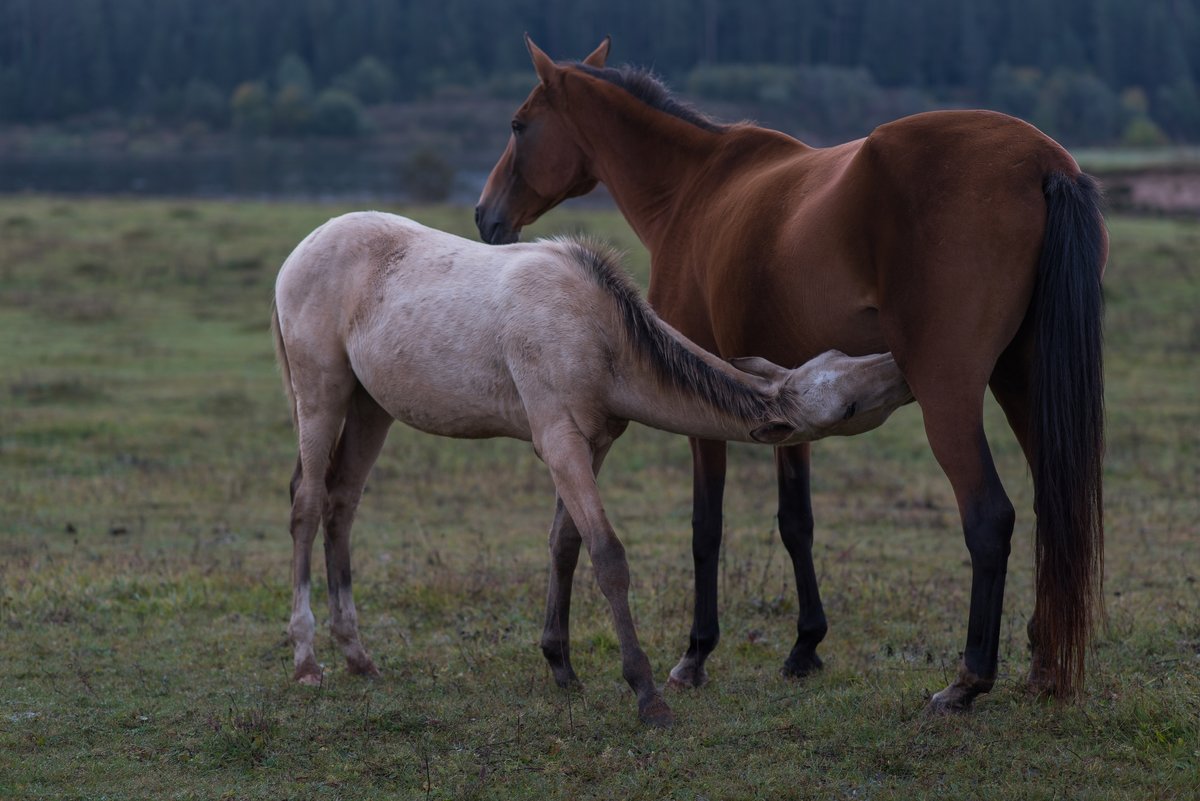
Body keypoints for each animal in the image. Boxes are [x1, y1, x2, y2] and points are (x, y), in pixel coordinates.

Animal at [272, 212, 907, 724]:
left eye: (842, 357)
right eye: (849, 406)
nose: (902, 365)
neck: (598, 332)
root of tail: (302, 249)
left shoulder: (593, 445)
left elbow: (565, 544)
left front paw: (561, 666)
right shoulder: (559, 443)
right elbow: (608, 556)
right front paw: (647, 694)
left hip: (370, 407)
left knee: (342, 503)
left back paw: (358, 656)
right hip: (321, 394)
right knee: (307, 505)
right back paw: (307, 660)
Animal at [475, 37, 1104, 709]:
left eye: (518, 125)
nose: (486, 216)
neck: (693, 188)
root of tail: (1043, 164)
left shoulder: (703, 398)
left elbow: (706, 527)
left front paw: (696, 654)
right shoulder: (789, 400)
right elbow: (796, 522)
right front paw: (806, 646)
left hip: (949, 393)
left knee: (990, 518)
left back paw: (966, 682)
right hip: (1022, 383)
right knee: (1052, 511)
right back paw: (1043, 665)